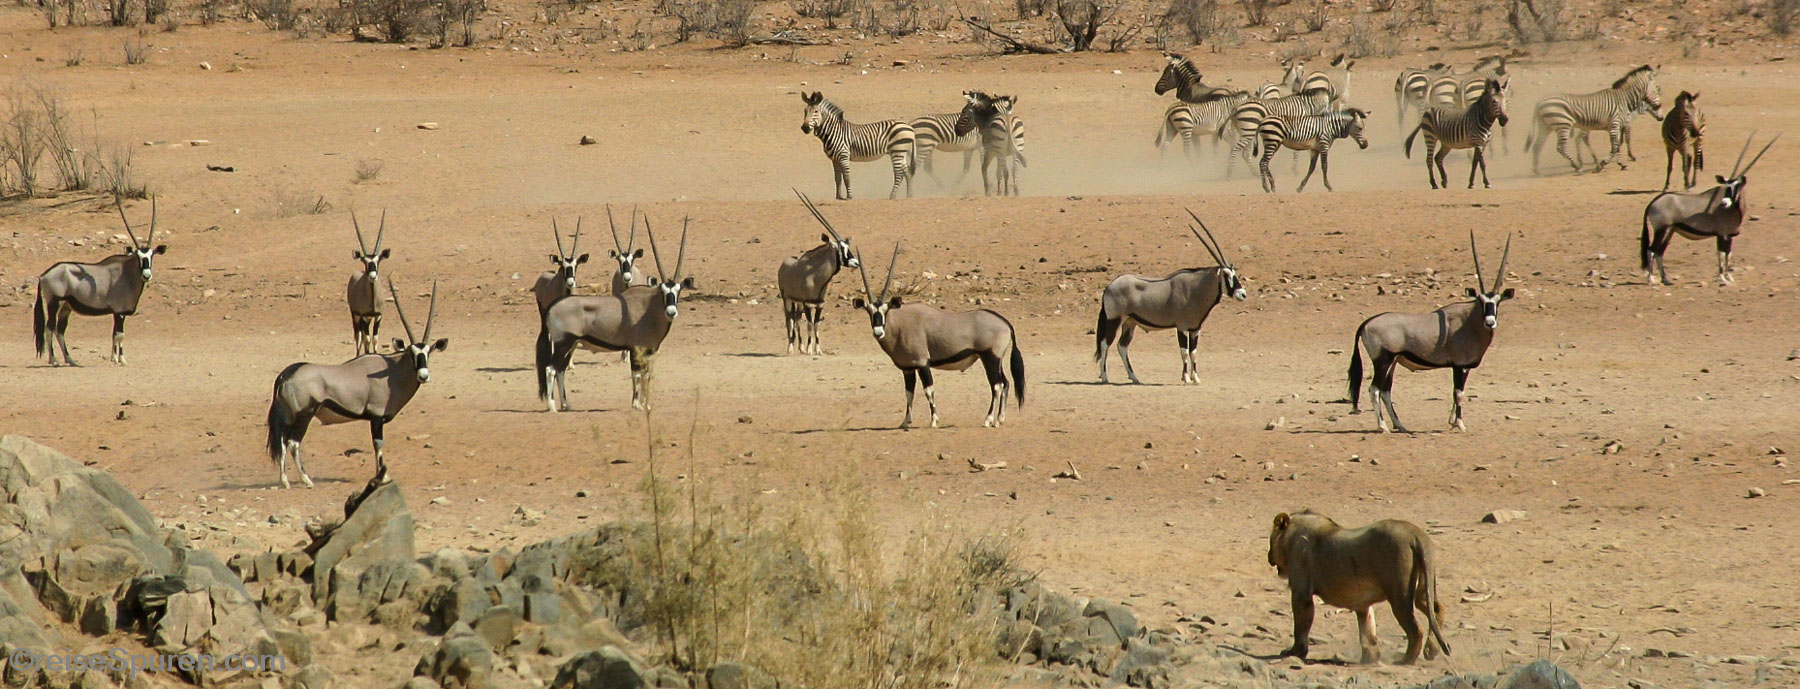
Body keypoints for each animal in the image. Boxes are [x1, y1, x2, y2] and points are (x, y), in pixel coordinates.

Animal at [1266, 510, 1451, 665]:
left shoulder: (1301, 591)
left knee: (1415, 630)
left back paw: (1405, 660)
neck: (1292, 536)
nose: (1268, 556)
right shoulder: (1362, 604)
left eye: (1270, 541)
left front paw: (1294, 652)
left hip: (1400, 595)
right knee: (1436, 609)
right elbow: (1367, 630)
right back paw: (1431, 650)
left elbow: (1301, 625)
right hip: (1424, 586)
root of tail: (1416, 534)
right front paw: (1370, 659)